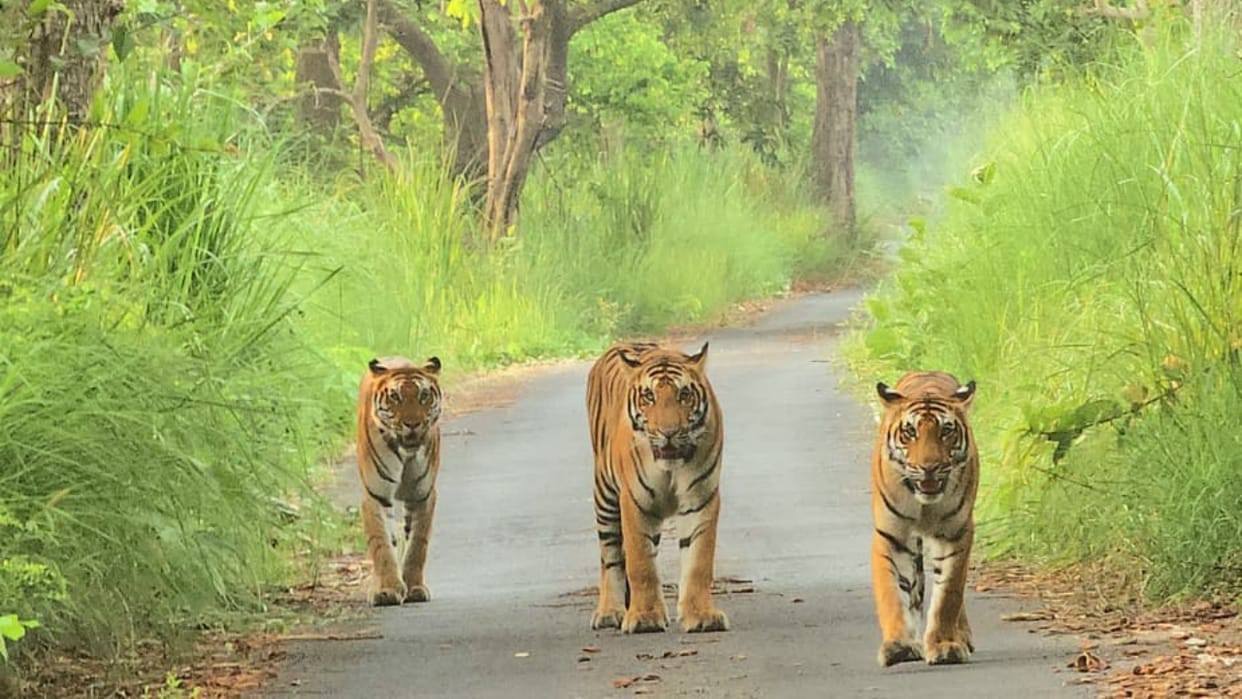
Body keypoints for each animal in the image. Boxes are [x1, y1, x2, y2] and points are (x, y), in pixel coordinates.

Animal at [356, 355, 444, 607]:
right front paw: (387, 590)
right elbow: (382, 545)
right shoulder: (375, 495)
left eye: (424, 395)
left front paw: (414, 587)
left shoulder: (422, 495)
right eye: (395, 397)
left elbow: (417, 545)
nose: (412, 424)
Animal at [586, 341, 730, 634]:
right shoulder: (634, 501)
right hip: (605, 496)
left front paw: (702, 615)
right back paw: (609, 612)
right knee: (610, 557)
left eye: (684, 395)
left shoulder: (701, 499)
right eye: (649, 397)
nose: (669, 432)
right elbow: (641, 563)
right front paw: (644, 617)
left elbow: (699, 561)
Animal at [870, 371, 978, 667]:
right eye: (910, 432)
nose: (928, 468)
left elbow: (948, 597)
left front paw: (944, 645)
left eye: (946, 431)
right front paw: (898, 645)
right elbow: (891, 595)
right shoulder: (891, 537)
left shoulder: (956, 535)